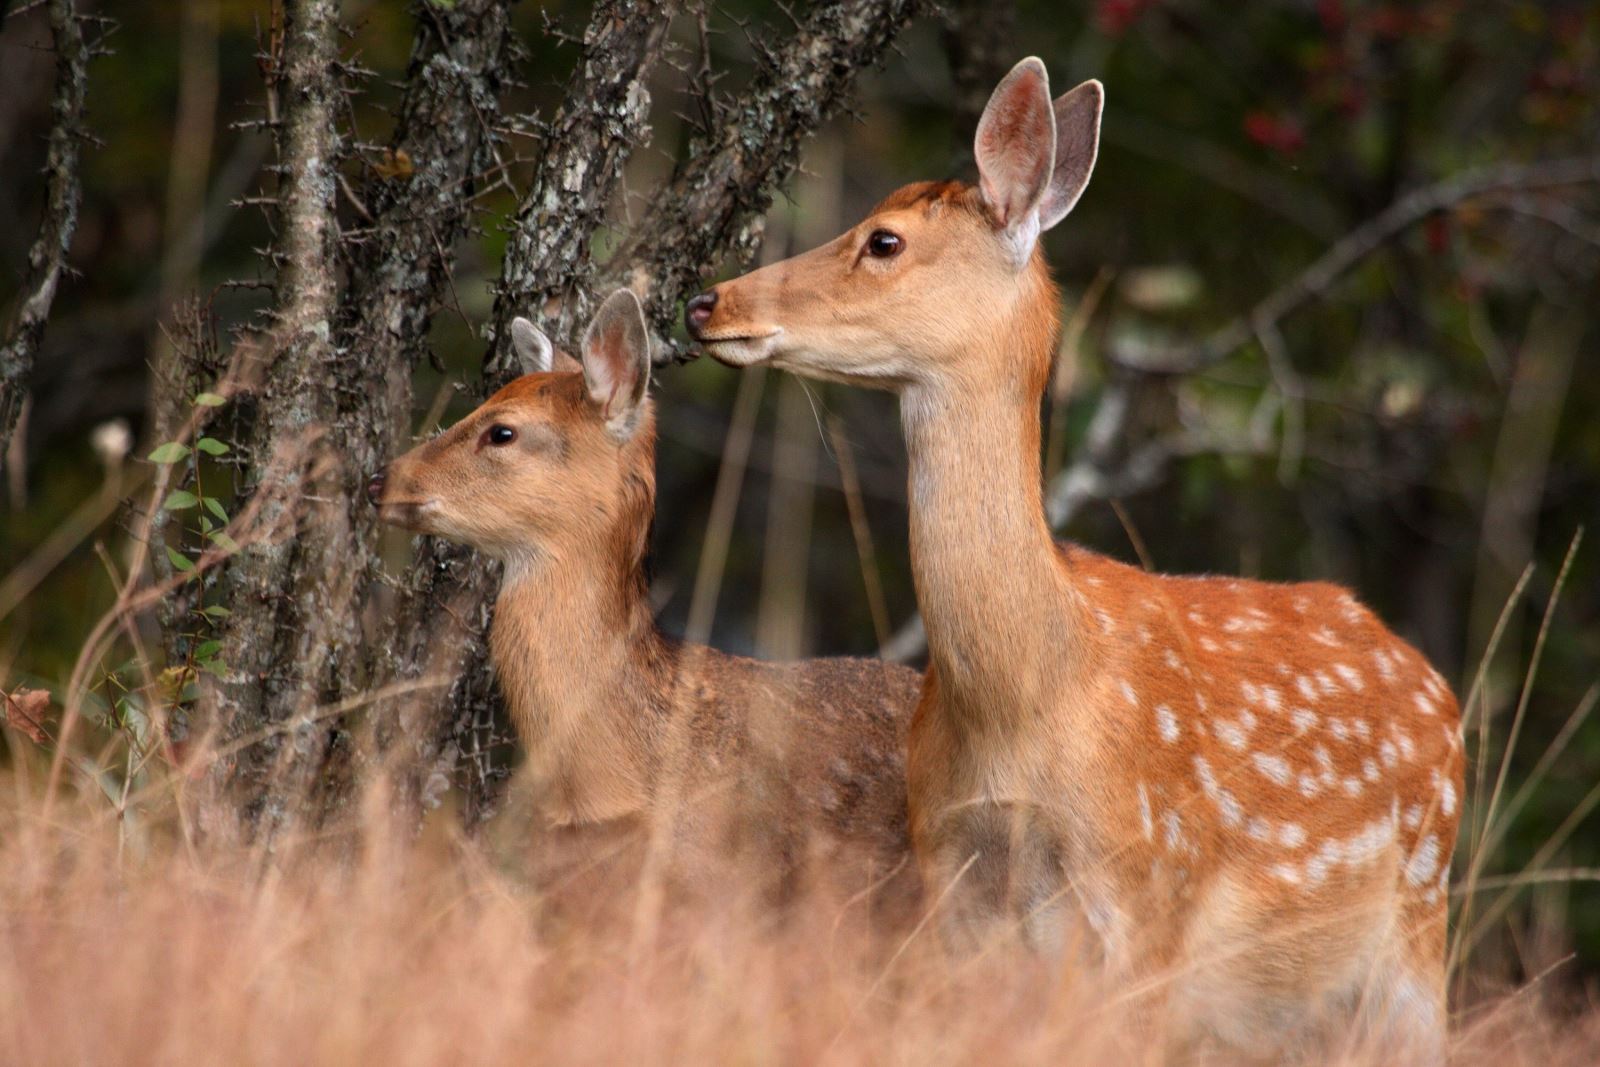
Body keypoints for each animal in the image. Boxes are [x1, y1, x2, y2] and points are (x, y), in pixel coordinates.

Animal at [688, 58, 1465, 1062]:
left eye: (884, 240)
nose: (709, 301)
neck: (1028, 690)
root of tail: (1433, 681)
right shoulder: (950, 883)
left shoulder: (1150, 888)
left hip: (1417, 922)